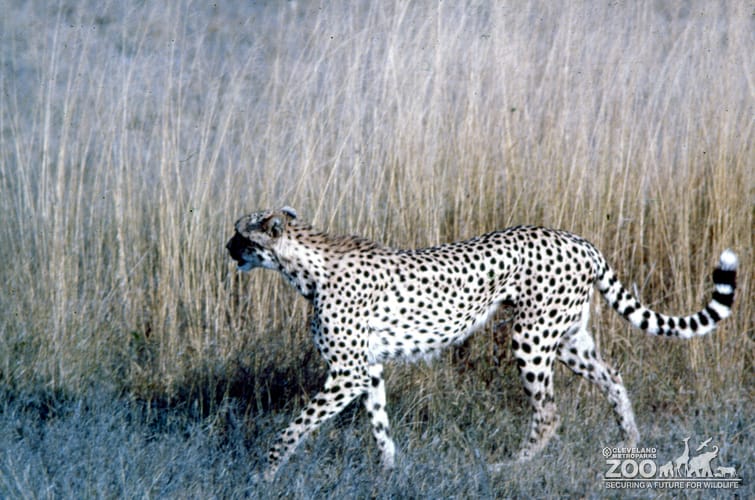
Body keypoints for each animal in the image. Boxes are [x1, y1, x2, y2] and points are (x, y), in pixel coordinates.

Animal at [225, 206, 738, 481]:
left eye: (241, 234)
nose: (227, 249)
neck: (305, 264)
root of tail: (579, 240)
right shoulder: (368, 368)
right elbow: (379, 423)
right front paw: (390, 470)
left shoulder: (348, 372)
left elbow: (295, 426)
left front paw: (264, 472)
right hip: (569, 338)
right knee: (612, 377)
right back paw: (630, 445)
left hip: (531, 337)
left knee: (549, 412)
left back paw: (509, 467)